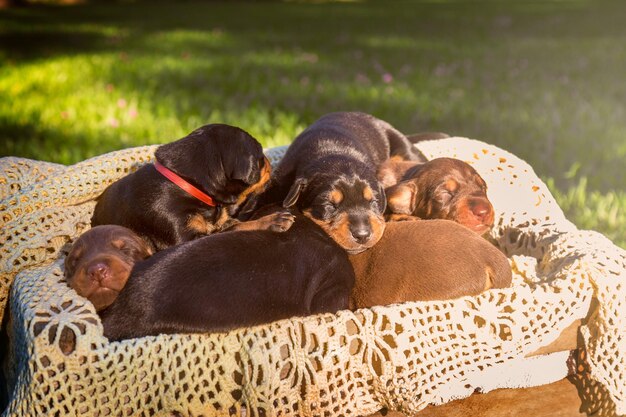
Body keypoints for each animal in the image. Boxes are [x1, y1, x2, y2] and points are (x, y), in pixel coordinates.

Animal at [90, 123, 290, 250]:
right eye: (260, 156)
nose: (269, 161)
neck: (186, 183)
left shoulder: (222, 221)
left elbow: (238, 223)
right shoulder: (184, 236)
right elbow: (236, 229)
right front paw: (273, 220)